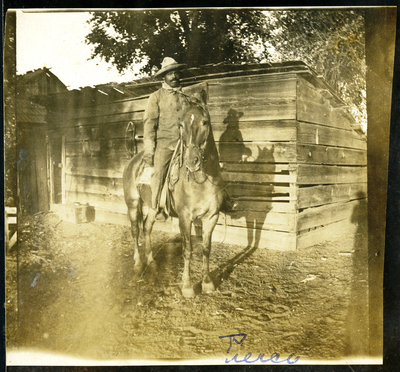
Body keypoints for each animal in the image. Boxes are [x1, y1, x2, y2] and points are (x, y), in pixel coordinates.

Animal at [122, 89, 225, 296]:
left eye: (205, 122)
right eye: (181, 124)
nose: (192, 161)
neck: (202, 181)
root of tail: (132, 160)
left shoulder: (212, 217)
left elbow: (206, 248)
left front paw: (207, 282)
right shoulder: (185, 218)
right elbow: (187, 250)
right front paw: (187, 286)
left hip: (152, 208)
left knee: (147, 228)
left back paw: (151, 261)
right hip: (133, 204)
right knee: (135, 230)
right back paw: (138, 263)